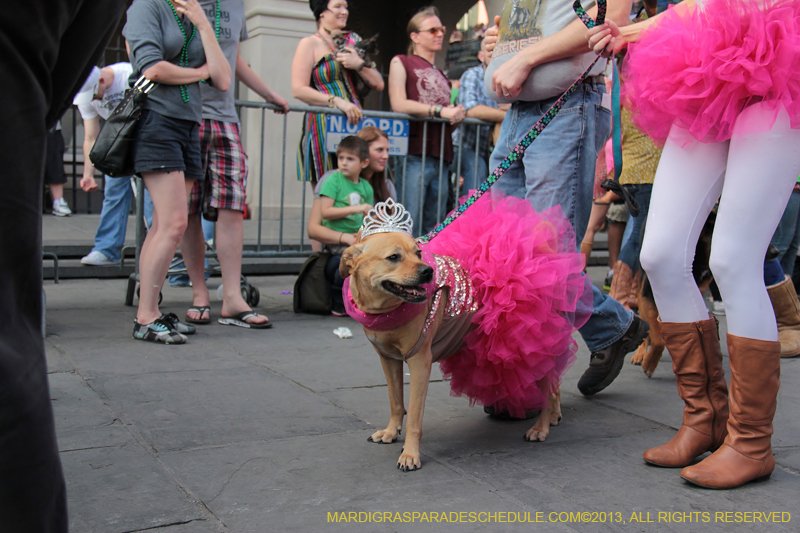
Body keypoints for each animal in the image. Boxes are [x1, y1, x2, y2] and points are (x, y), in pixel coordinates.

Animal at [340, 232, 564, 470]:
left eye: (418, 253)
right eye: (393, 257)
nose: (427, 271)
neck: (386, 309)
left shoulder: (419, 363)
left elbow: (414, 418)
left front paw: (410, 454)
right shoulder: (388, 359)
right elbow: (396, 401)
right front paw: (391, 432)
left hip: (528, 345)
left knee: (549, 392)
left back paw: (540, 428)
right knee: (554, 382)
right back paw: (553, 417)